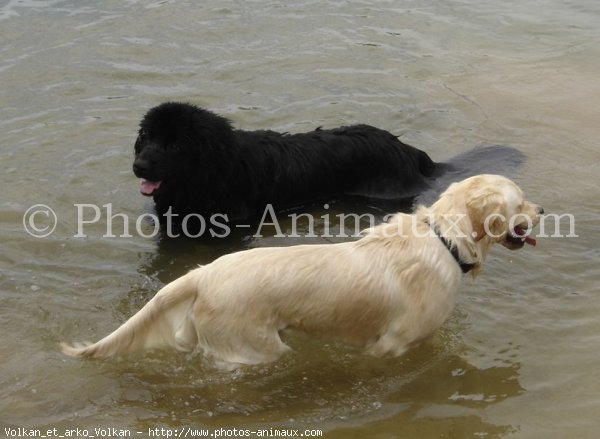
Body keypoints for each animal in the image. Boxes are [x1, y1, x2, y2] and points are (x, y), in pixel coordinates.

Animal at [62, 174, 544, 364]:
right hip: (257, 348)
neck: (445, 239)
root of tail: (202, 273)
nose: (542, 210)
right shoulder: (391, 344)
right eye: (520, 201)